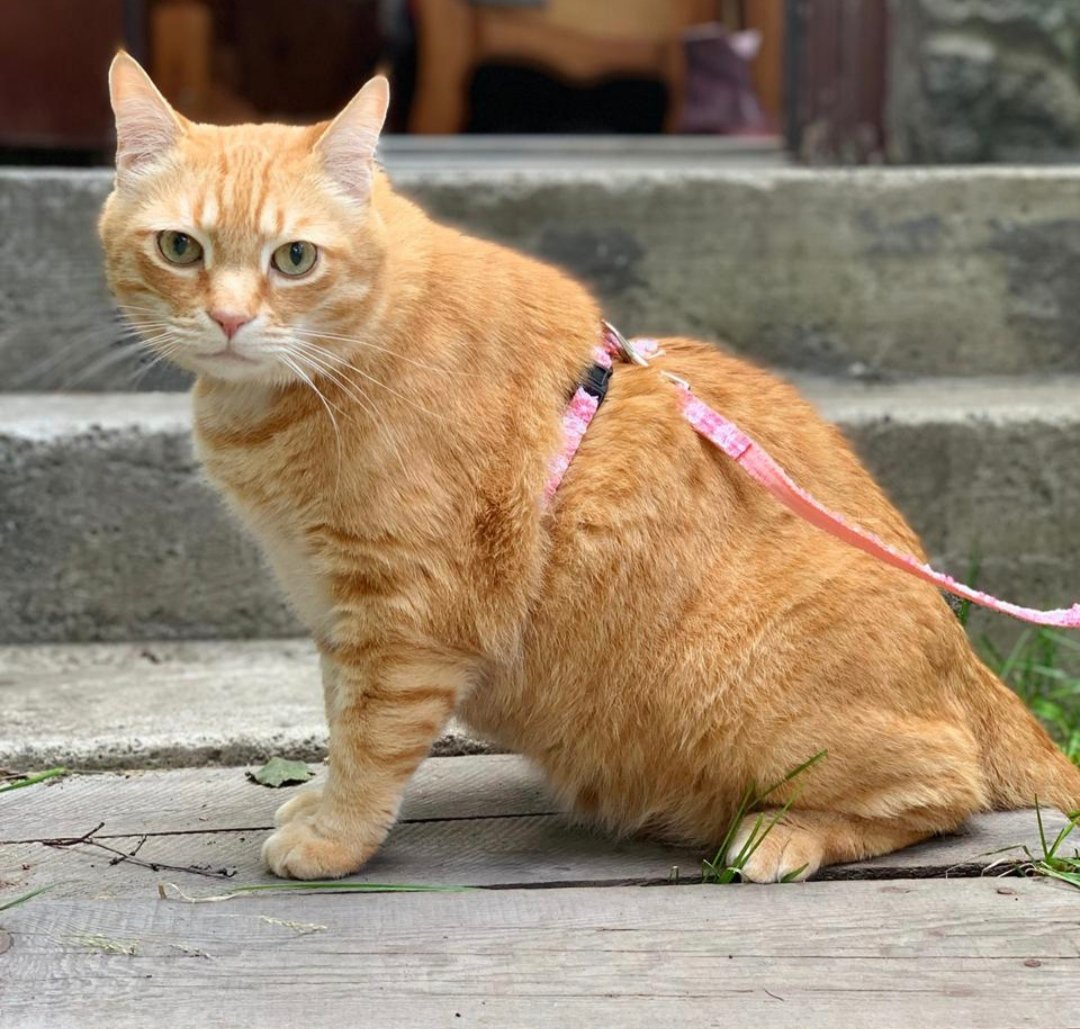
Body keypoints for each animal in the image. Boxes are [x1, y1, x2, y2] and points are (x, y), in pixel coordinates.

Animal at [101, 52, 1080, 881]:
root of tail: (969, 662)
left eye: (294, 257)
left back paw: (776, 834)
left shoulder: (406, 617)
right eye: (180, 247)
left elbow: (370, 739)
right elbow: (341, 717)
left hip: (746, 705)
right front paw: (319, 800)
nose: (229, 320)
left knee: (946, 791)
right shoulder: (342, 616)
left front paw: (333, 836)